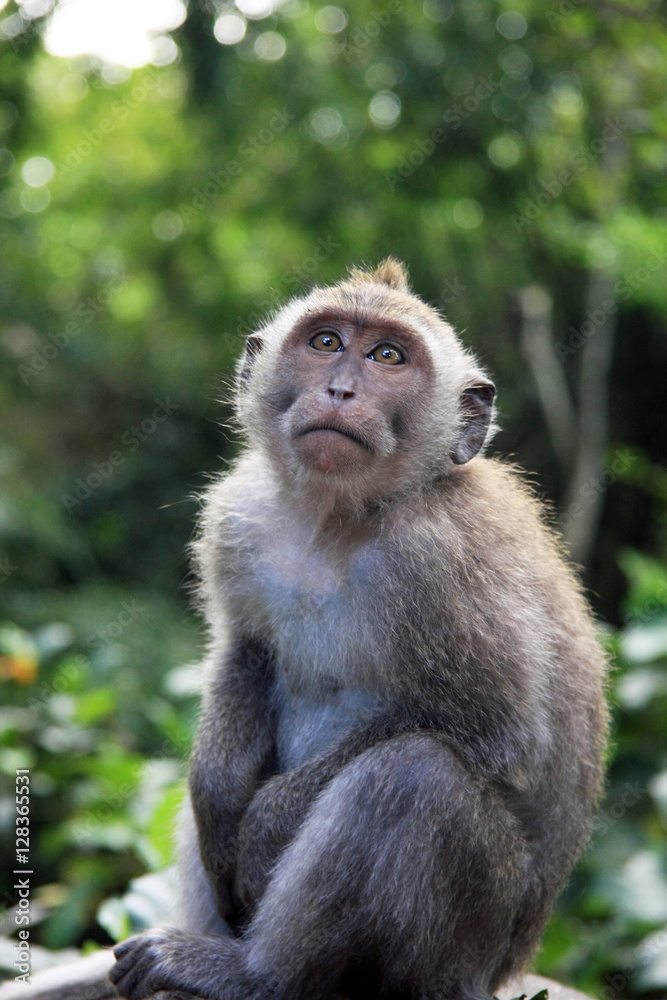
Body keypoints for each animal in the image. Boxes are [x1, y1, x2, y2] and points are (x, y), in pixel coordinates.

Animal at [105, 260, 612, 1000]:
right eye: (326, 342)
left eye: (388, 358)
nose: (340, 389)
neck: (338, 518)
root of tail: (504, 968)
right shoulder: (238, 515)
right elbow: (245, 652)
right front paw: (219, 800)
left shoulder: (441, 561)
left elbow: (502, 734)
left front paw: (262, 830)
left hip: (463, 944)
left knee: (414, 776)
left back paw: (254, 973)